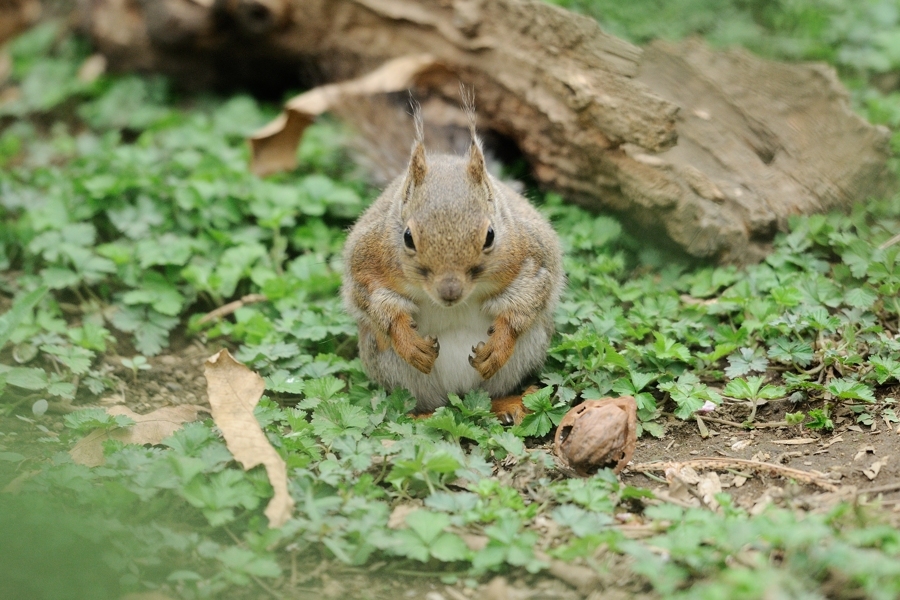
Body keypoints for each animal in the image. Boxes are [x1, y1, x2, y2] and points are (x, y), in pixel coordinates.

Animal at [342, 96, 568, 420]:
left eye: (490, 235)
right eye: (407, 237)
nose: (450, 292)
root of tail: (459, 393)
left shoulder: (533, 257)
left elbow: (526, 299)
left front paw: (499, 344)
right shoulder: (365, 261)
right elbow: (375, 301)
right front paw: (408, 342)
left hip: (526, 349)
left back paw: (509, 403)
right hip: (388, 362)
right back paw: (420, 416)